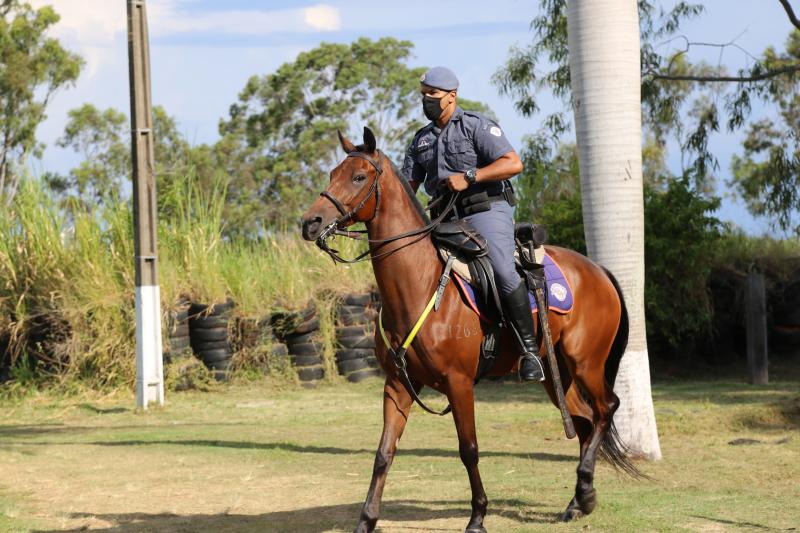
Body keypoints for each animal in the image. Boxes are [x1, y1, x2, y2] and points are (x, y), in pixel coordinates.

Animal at [300, 128, 636, 532]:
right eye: (333, 173)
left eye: (359, 177)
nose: (310, 223)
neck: (421, 285)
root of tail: (598, 270)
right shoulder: (397, 384)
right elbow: (384, 453)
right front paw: (366, 520)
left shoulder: (458, 382)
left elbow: (469, 449)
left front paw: (477, 516)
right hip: (557, 375)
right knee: (585, 422)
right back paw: (578, 501)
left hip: (586, 363)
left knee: (606, 408)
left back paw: (584, 492)